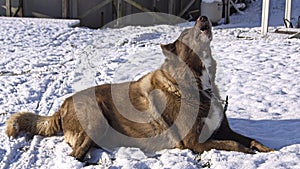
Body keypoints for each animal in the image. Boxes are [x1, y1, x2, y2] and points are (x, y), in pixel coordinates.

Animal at [5, 15, 274, 161]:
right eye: (187, 35)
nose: (203, 18)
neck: (198, 84)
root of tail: (62, 106)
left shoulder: (223, 130)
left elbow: (250, 138)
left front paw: (267, 149)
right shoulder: (194, 142)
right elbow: (233, 145)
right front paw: (249, 152)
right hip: (96, 117)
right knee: (75, 155)